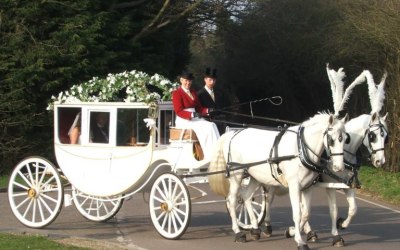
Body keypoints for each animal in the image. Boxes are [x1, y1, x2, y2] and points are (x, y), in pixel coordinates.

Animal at [209, 114, 346, 250]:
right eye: (331, 140)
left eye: (345, 139)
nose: (339, 167)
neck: (300, 149)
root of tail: (233, 134)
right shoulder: (294, 186)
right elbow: (297, 214)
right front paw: (299, 241)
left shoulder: (307, 187)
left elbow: (306, 213)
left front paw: (292, 232)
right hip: (236, 175)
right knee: (232, 200)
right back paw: (238, 233)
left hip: (255, 176)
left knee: (246, 196)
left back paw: (255, 230)